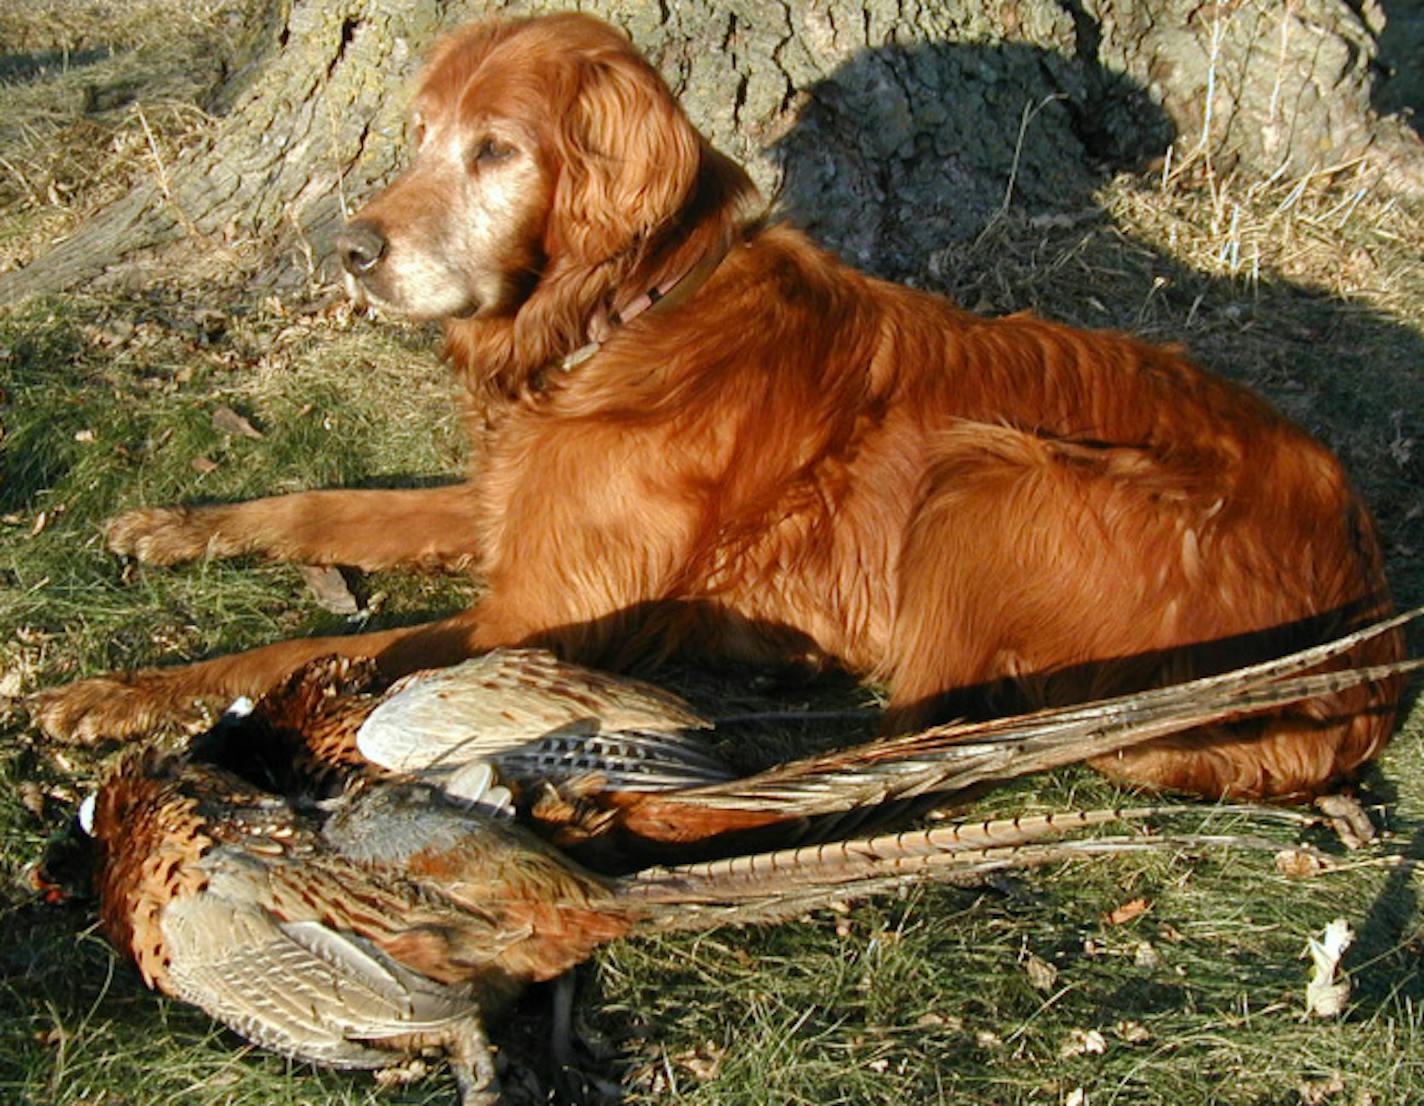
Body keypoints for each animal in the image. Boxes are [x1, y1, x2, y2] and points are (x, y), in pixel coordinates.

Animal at [33, 12, 1401, 797]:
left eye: (496, 151)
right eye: (419, 133)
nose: (349, 250)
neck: (627, 317)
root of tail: (1367, 622)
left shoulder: (538, 611)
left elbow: (310, 652)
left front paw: (121, 691)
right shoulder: (506, 513)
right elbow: (324, 502)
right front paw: (174, 526)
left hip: (986, 470)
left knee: (927, 730)